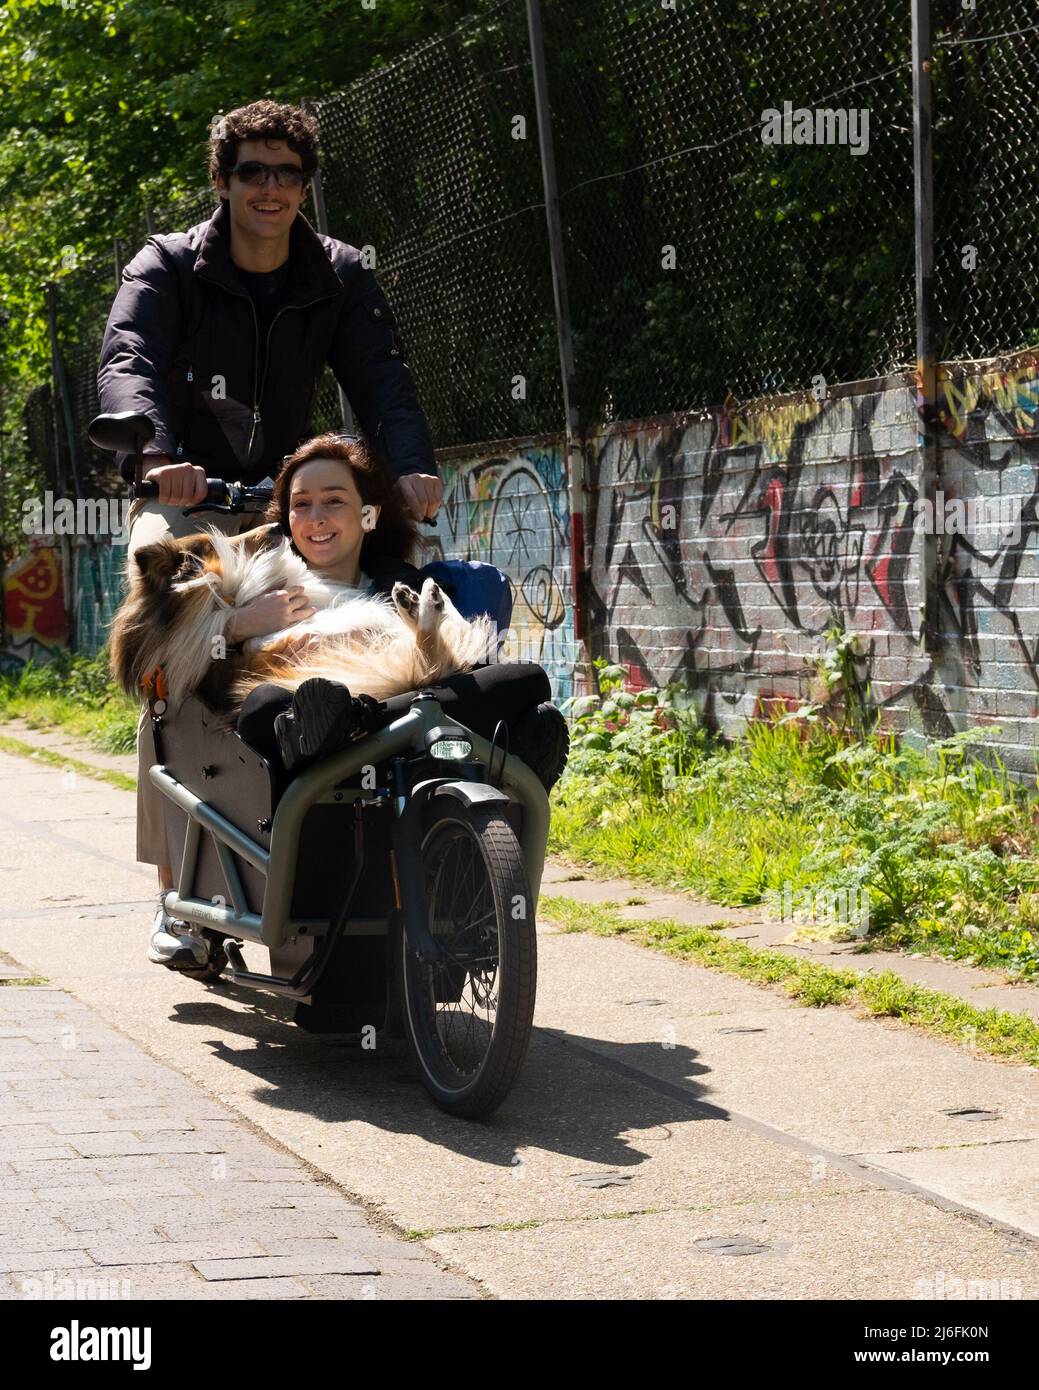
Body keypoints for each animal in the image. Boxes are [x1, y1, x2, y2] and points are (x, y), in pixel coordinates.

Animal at [111, 522, 500, 717]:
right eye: (213, 545)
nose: (277, 526)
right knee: (433, 657)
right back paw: (423, 604)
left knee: (444, 648)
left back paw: (420, 599)